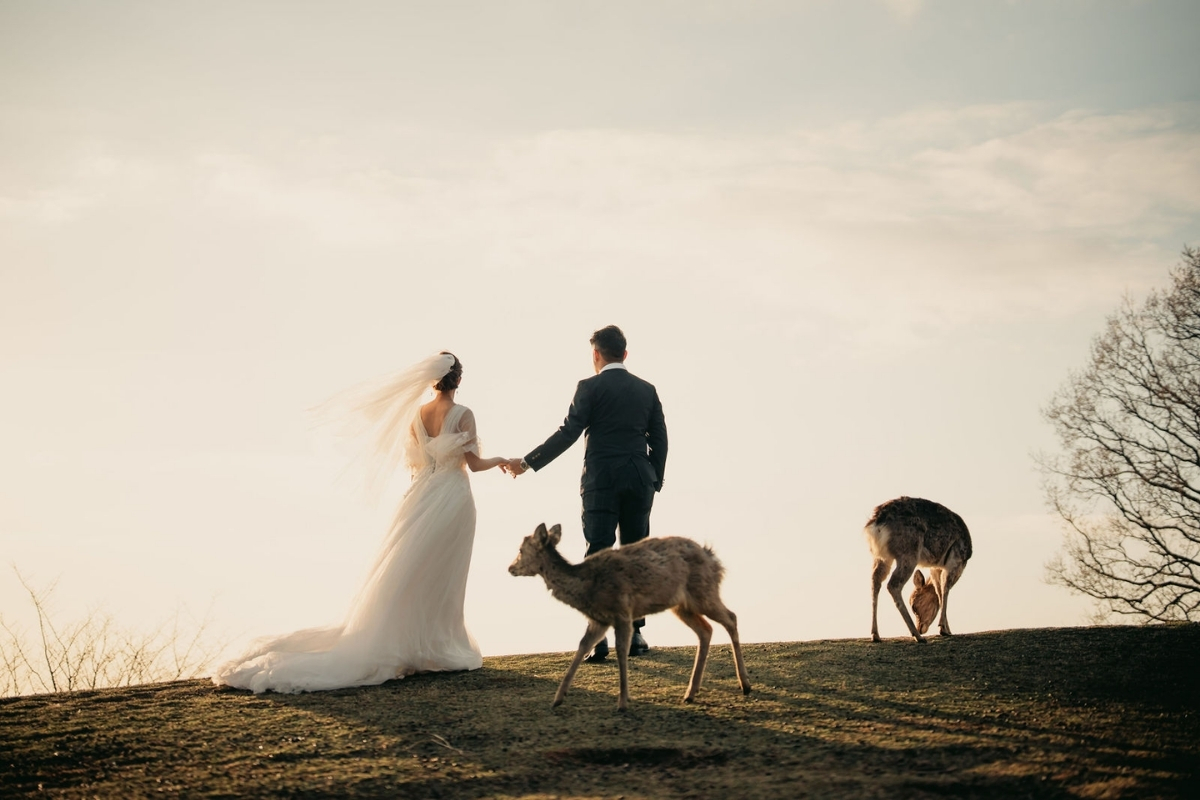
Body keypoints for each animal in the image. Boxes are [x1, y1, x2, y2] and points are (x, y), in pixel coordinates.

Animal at [506, 525, 748, 714]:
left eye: (520, 550)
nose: (510, 568)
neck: (587, 587)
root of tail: (713, 557)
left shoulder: (622, 611)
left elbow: (622, 650)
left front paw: (622, 702)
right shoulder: (599, 620)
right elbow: (582, 647)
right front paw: (557, 698)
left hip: (703, 592)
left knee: (731, 618)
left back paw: (745, 684)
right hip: (682, 605)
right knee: (706, 630)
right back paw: (690, 693)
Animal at [859, 494, 969, 642]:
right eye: (913, 607)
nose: (921, 628)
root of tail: (876, 523)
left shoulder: (935, 567)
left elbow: (939, 590)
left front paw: (947, 628)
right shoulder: (956, 561)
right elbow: (945, 589)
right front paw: (944, 629)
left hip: (882, 557)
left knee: (875, 581)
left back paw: (876, 635)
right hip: (909, 553)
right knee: (893, 584)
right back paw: (917, 636)